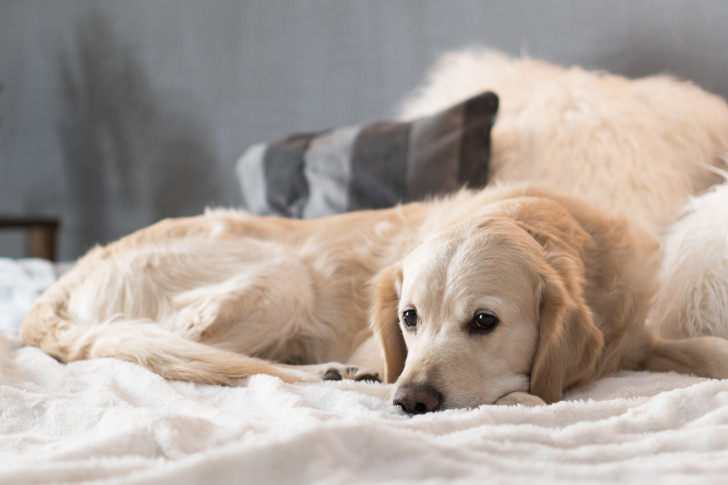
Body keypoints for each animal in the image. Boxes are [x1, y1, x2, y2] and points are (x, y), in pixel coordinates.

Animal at [17, 183, 728, 410]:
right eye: (409, 318)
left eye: (484, 320)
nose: (410, 400)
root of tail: (63, 281)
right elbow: (529, 393)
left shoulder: (636, 336)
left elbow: (697, 348)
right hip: (283, 278)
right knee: (188, 354)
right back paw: (332, 372)